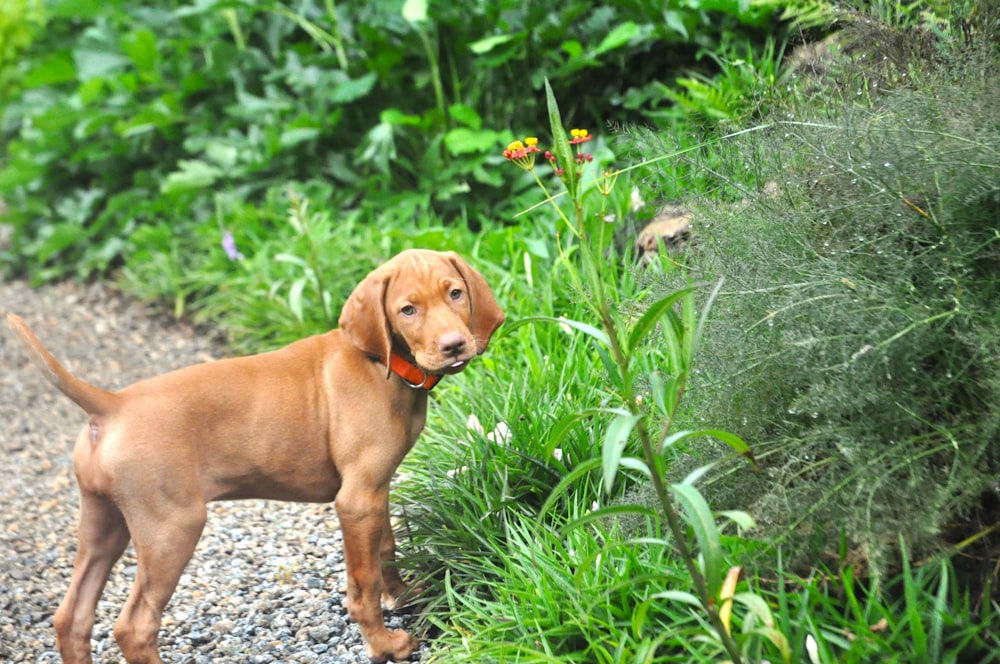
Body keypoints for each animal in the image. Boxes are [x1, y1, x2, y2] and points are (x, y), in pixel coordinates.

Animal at [5, 250, 508, 664]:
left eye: (455, 293)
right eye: (408, 309)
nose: (454, 345)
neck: (379, 363)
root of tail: (111, 404)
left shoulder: (374, 489)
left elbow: (386, 550)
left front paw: (401, 596)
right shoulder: (356, 498)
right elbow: (363, 584)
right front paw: (385, 645)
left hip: (103, 521)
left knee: (71, 617)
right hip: (171, 526)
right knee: (134, 626)